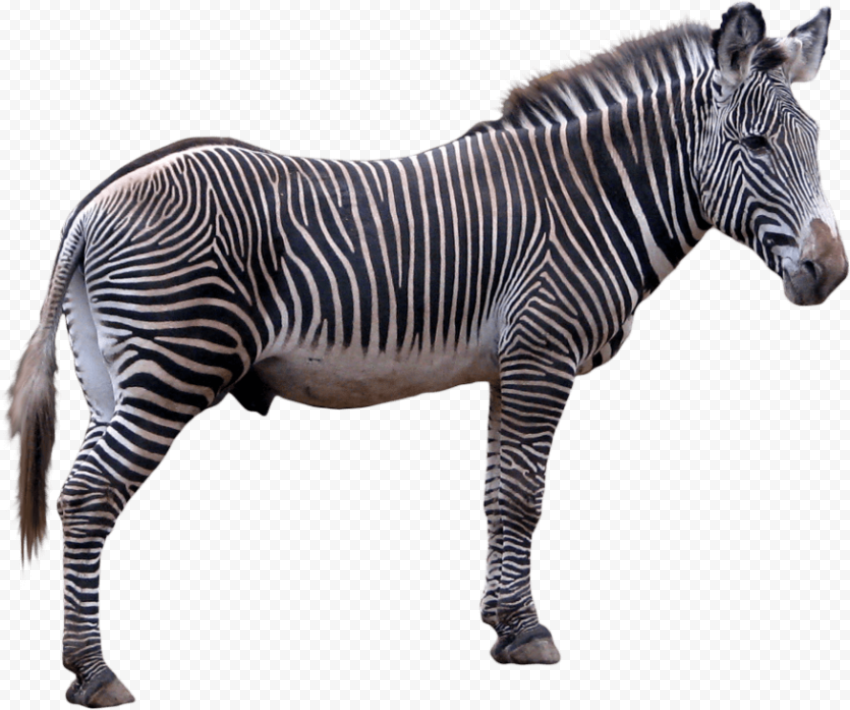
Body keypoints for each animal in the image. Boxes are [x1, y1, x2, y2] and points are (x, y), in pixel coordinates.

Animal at [9, 3, 845, 706]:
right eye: (755, 144)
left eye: (816, 145)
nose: (831, 271)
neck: (592, 200)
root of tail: (96, 201)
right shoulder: (543, 354)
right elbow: (525, 497)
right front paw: (530, 634)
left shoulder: (512, 365)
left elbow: (498, 495)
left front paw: (503, 624)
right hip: (171, 369)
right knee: (89, 497)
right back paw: (95, 673)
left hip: (109, 380)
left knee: (81, 493)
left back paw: (81, 663)